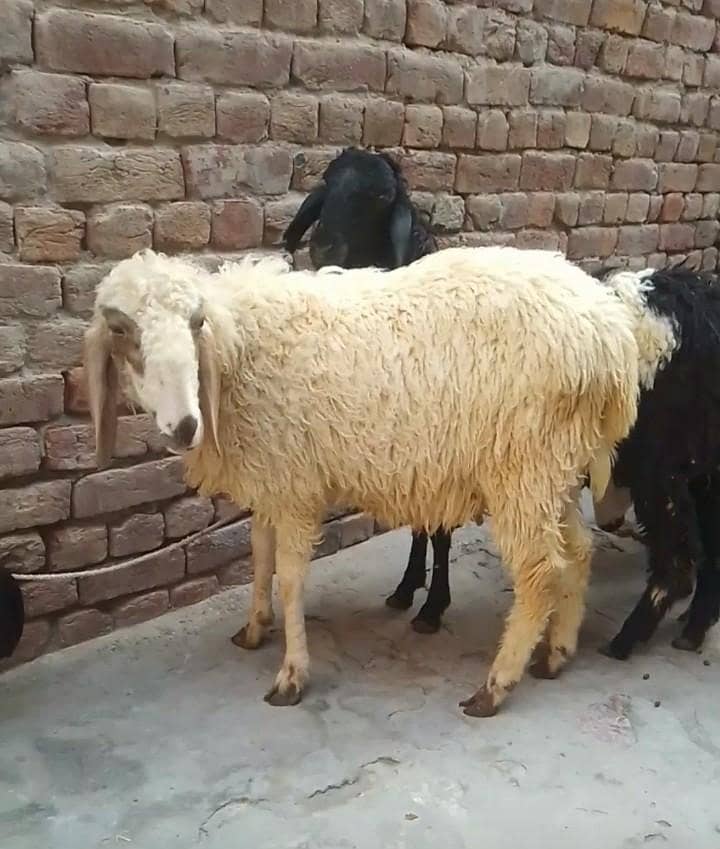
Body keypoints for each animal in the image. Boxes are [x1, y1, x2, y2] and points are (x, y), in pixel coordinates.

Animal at [84, 245, 644, 717]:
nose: (184, 426)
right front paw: (254, 627)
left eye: (195, 324)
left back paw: (496, 685)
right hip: (555, 469)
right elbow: (259, 554)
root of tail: (610, 333)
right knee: (579, 552)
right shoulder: (271, 478)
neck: (239, 350)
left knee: (540, 571)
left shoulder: (293, 484)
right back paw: (557, 652)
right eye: (123, 334)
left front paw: (292, 674)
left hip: (522, 467)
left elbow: (289, 578)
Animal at [591, 265, 720, 660]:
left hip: (662, 467)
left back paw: (626, 641)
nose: (612, 523)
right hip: (702, 466)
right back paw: (693, 626)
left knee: (678, 558)